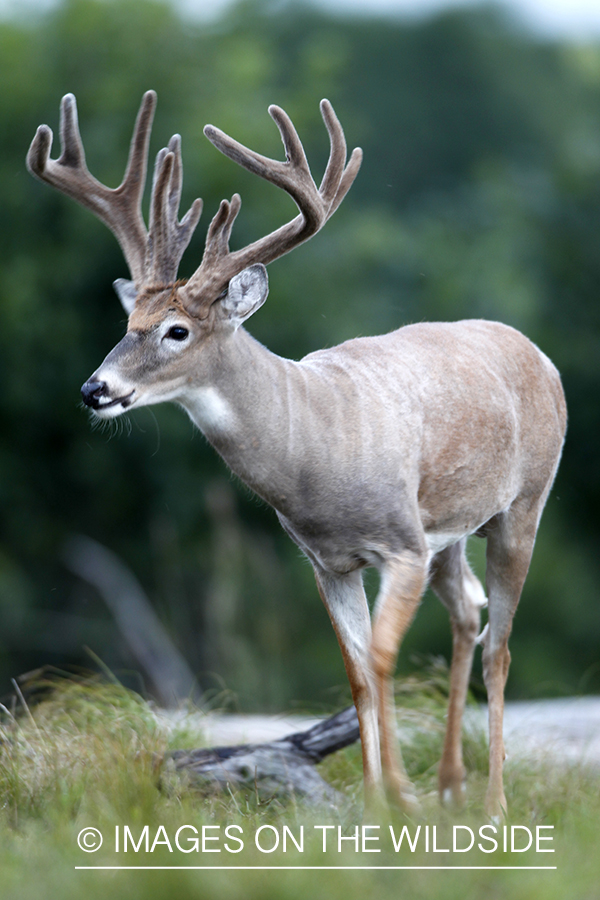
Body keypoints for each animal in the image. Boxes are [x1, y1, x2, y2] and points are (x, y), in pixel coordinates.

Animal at [27, 91, 564, 816]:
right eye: (128, 324)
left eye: (177, 330)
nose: (95, 389)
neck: (316, 448)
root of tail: (537, 352)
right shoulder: (327, 561)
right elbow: (358, 674)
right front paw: (375, 803)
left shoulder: (401, 545)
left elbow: (385, 661)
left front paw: (399, 796)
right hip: (452, 531)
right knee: (465, 615)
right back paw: (452, 784)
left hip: (523, 505)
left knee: (498, 647)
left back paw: (492, 806)